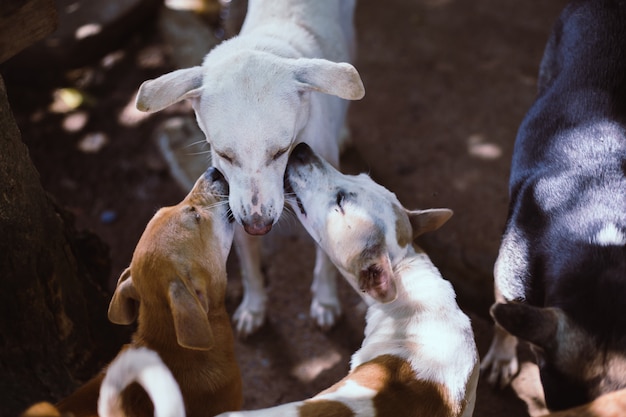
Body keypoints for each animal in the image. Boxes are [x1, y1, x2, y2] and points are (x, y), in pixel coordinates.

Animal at [134, 0, 364, 336]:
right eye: (223, 154)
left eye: (281, 150)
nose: (258, 225)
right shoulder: (234, 207)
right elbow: (250, 268)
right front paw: (254, 308)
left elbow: (325, 263)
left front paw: (325, 302)